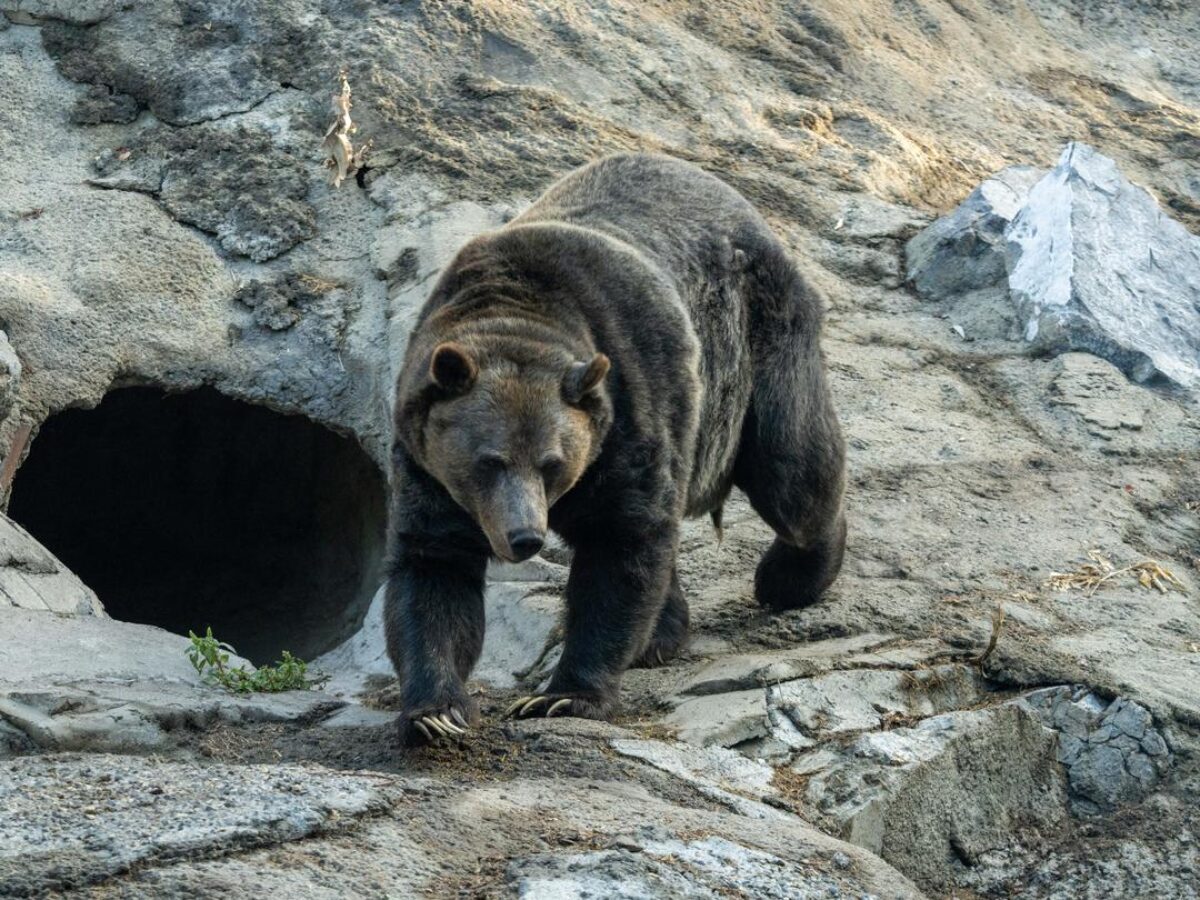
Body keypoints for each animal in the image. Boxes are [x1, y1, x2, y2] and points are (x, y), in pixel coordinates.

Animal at [384, 153, 844, 748]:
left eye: (551, 463)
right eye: (489, 460)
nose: (525, 536)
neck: (517, 309)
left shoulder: (630, 406)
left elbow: (621, 546)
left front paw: (562, 695)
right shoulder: (426, 466)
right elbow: (432, 568)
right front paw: (436, 711)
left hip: (754, 342)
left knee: (791, 468)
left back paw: (790, 576)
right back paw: (664, 633)